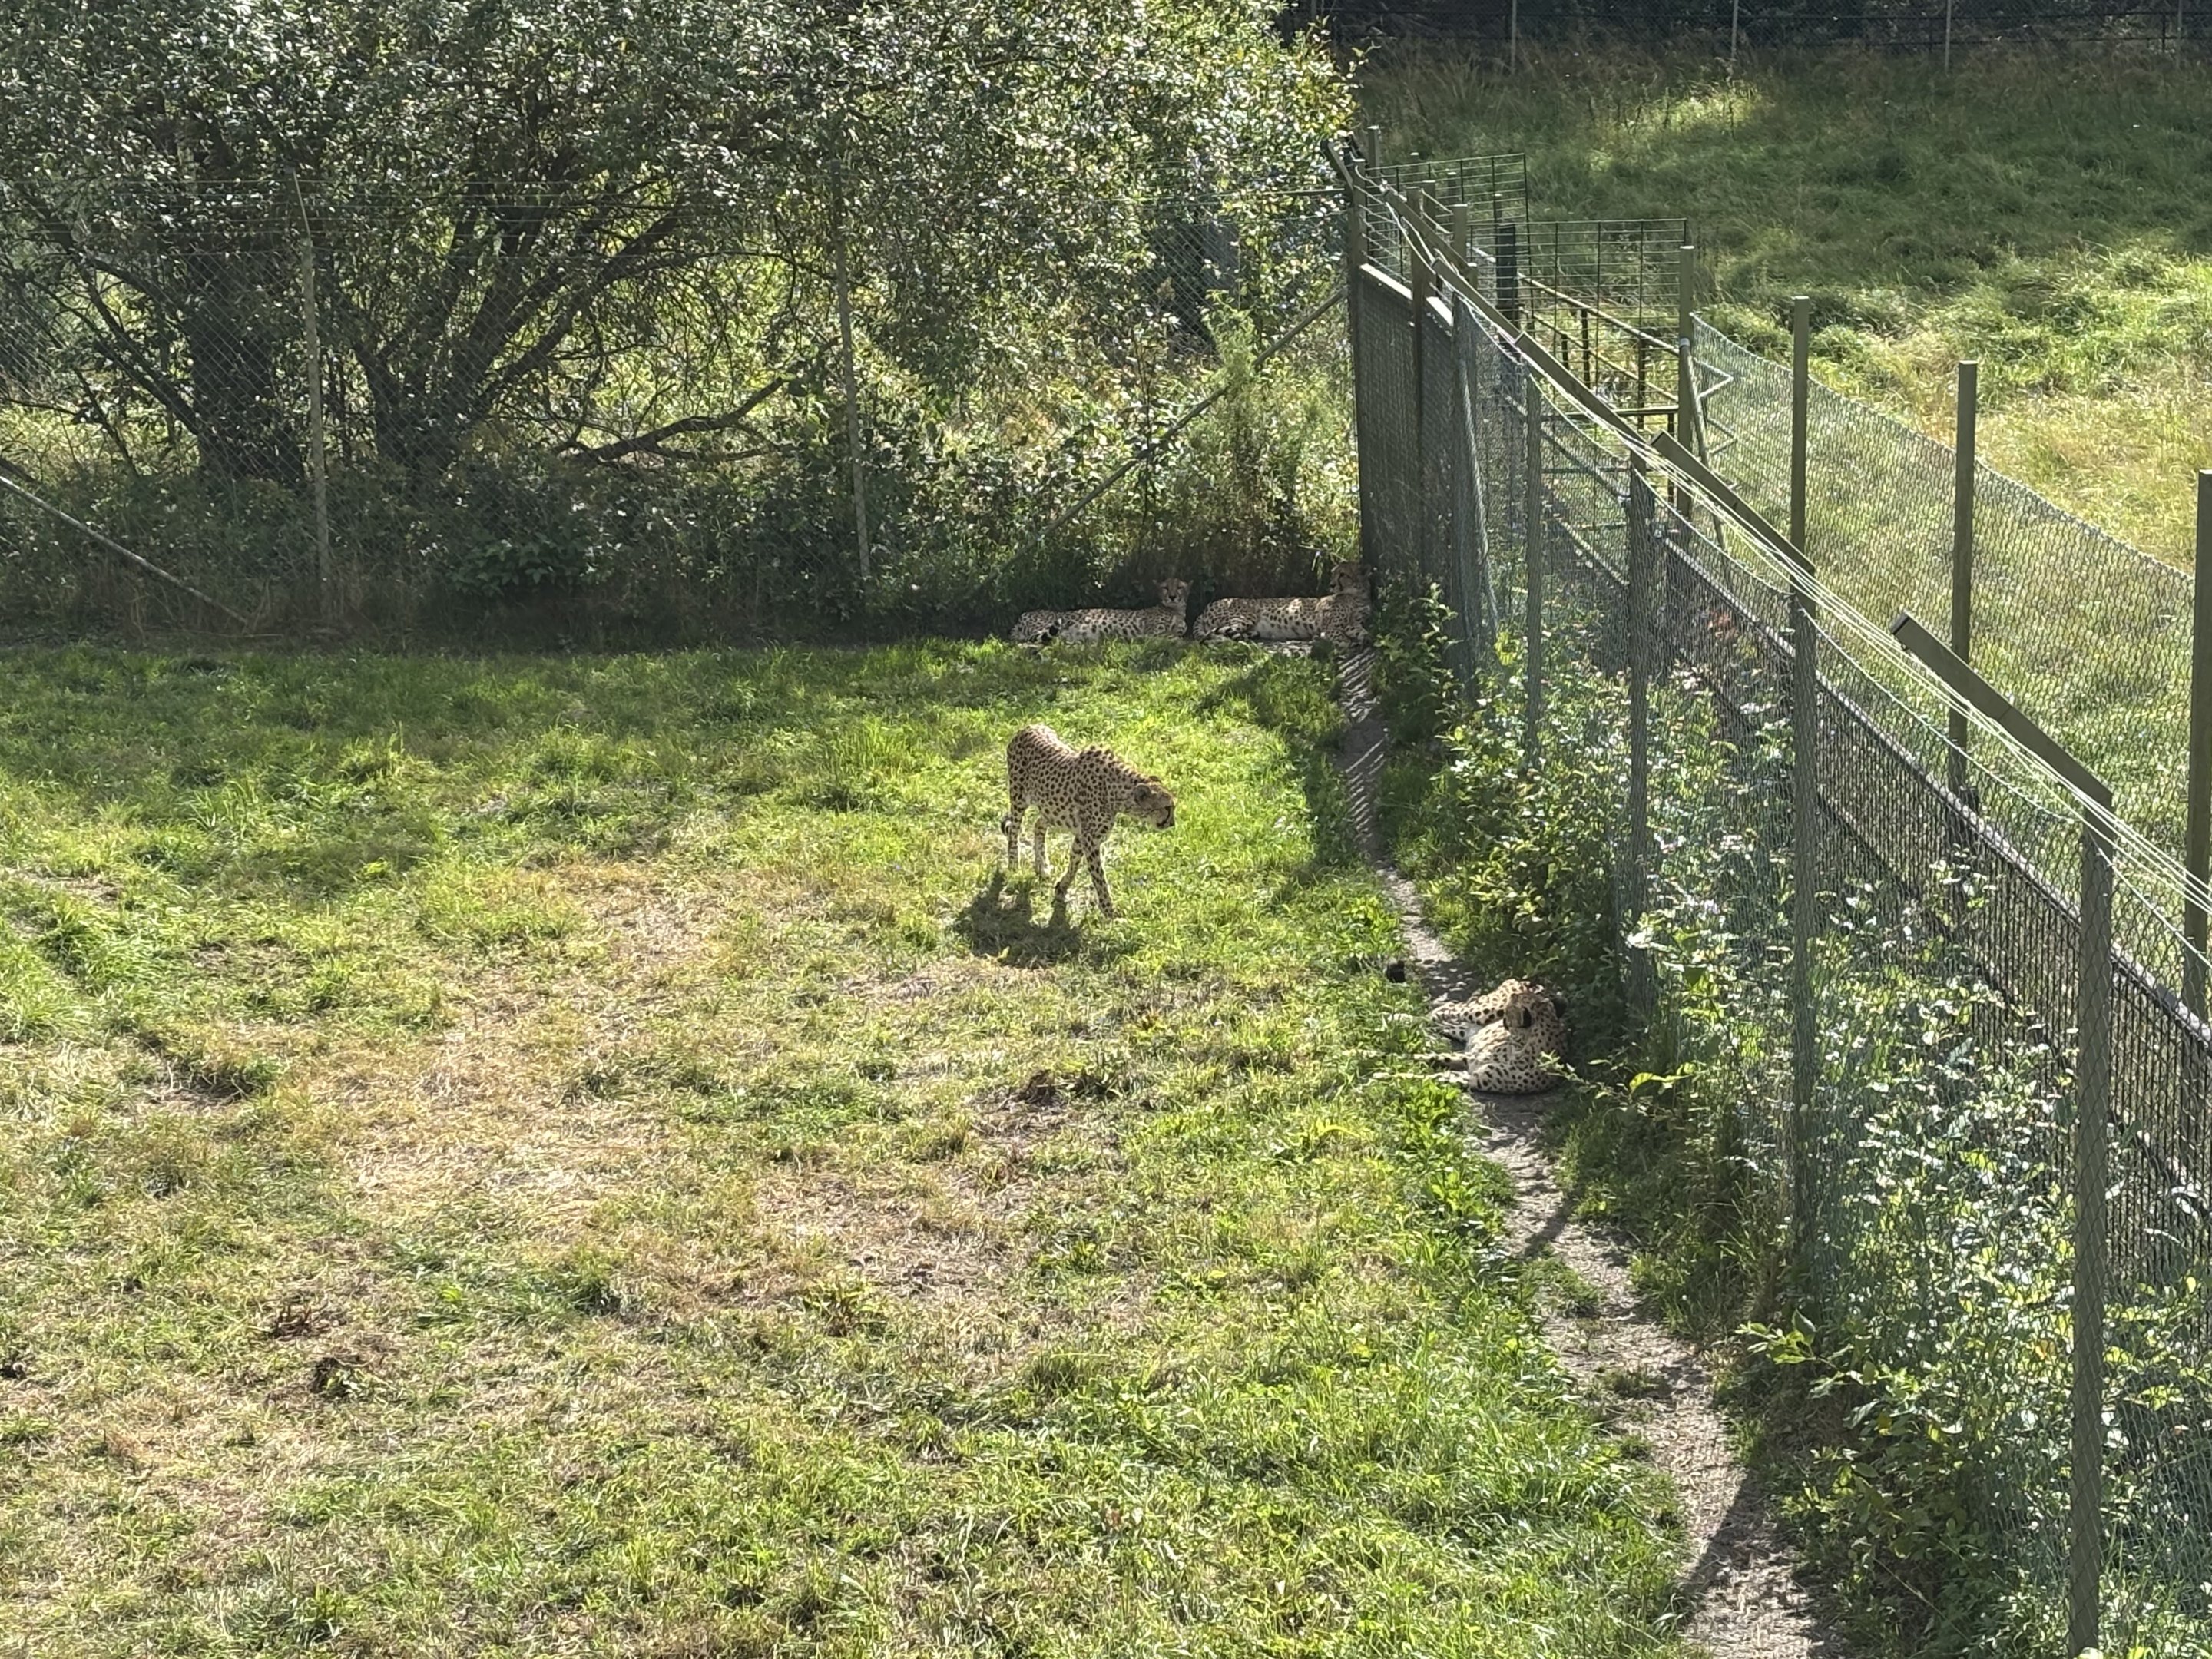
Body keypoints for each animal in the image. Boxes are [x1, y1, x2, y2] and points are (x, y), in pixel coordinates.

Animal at [1001, 723, 1175, 919]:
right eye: (1167, 808)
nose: (1172, 823)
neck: (1116, 792)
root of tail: (1029, 726)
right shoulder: (1091, 840)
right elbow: (1099, 878)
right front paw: (1110, 913)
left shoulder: (1083, 835)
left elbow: (1075, 861)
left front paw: (1062, 887)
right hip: (1019, 798)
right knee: (1014, 831)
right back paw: (1013, 866)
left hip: (1052, 811)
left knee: (1038, 824)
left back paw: (1042, 866)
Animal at [1012, 579, 1190, 646]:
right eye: (1165, 587)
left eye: (1179, 587)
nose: (1172, 596)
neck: (1177, 610)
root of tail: (1023, 615)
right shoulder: (1152, 633)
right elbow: (1174, 637)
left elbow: (1178, 635)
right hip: (1050, 627)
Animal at [1193, 560, 1370, 646]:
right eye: (1333, 574)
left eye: (1343, 574)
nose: (1332, 585)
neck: (1357, 596)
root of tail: (1207, 607)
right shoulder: (1332, 627)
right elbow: (1342, 639)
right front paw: (1343, 643)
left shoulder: (1353, 624)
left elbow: (1364, 632)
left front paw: (1366, 639)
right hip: (1247, 615)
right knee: (1212, 634)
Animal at [1432, 978, 1566, 1094]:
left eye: (1510, 1009)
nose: (1503, 1021)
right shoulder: (1472, 1058)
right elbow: (1438, 1057)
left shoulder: (1472, 1075)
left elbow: (1441, 1074)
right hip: (1486, 1011)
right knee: (1448, 1008)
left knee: (1448, 1021)